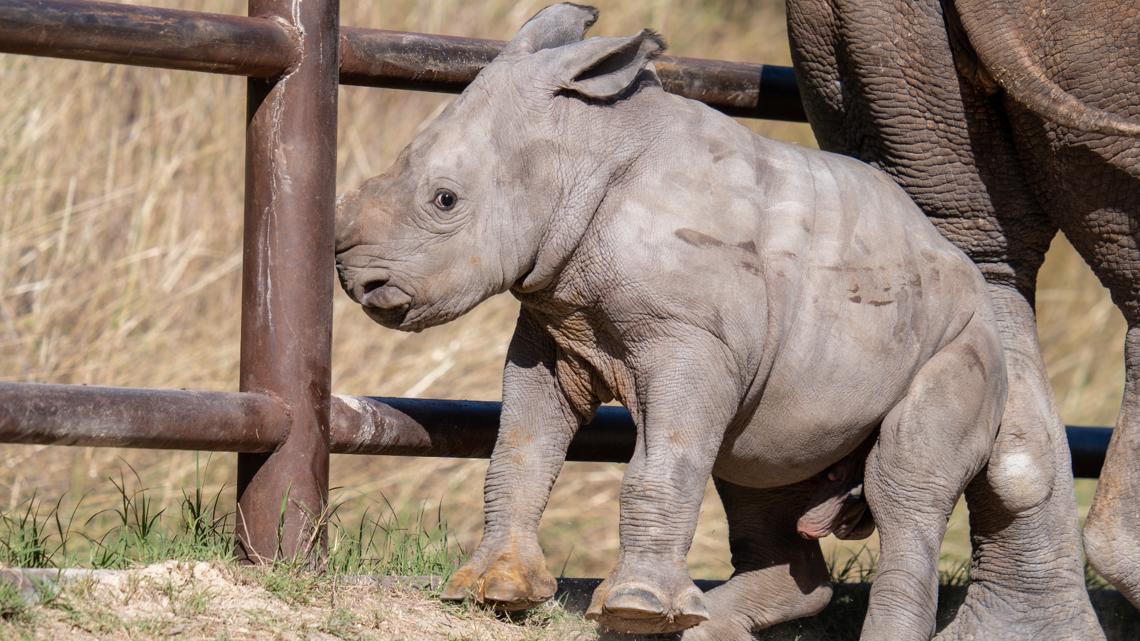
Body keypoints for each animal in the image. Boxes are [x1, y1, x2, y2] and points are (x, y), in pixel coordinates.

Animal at [334, 5, 1009, 640]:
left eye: (444, 200)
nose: (358, 281)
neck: (581, 155)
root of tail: (954, 256)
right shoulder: (552, 331)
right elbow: (519, 451)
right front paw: (494, 592)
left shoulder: (692, 339)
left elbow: (663, 463)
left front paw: (635, 608)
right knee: (757, 465)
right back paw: (707, 625)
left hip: (966, 333)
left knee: (903, 485)